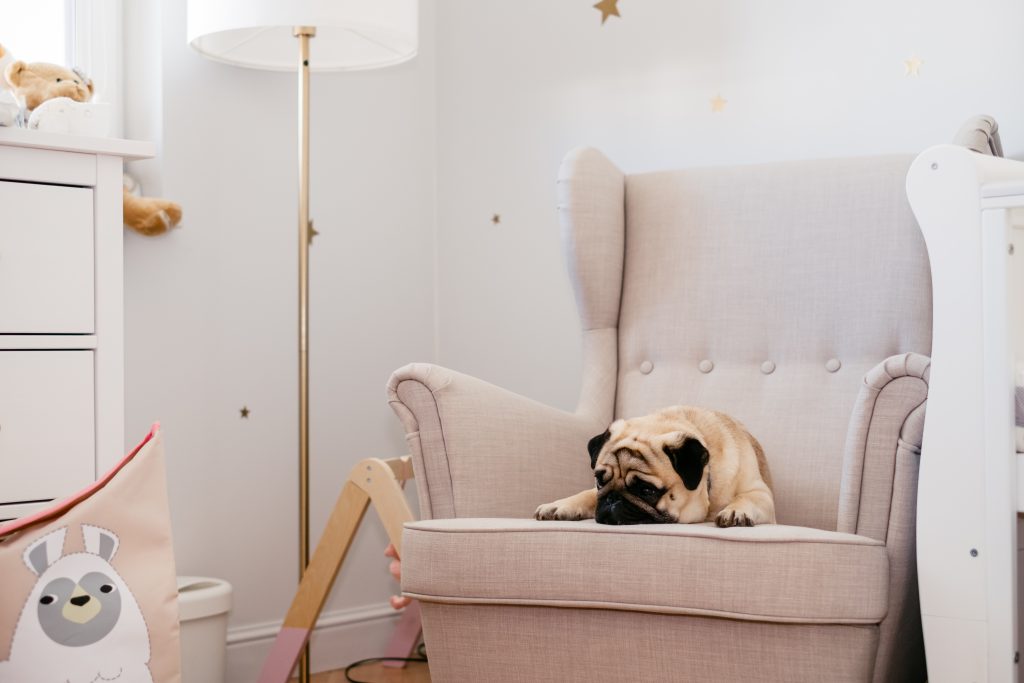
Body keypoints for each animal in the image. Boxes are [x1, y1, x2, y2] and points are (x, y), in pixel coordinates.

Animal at [536, 409, 774, 528]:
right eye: (600, 482)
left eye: (646, 491)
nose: (612, 499)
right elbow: (587, 495)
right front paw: (560, 505)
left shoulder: (760, 494)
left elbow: (746, 498)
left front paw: (736, 511)